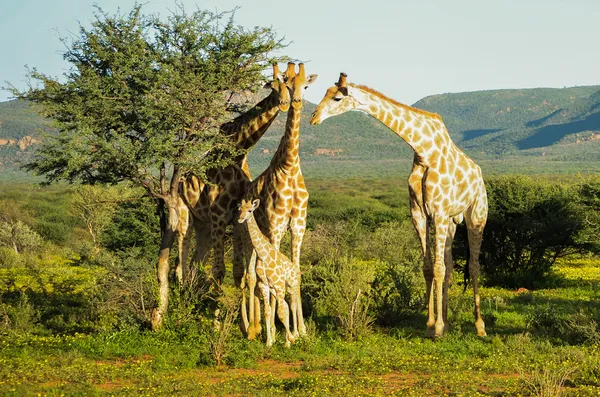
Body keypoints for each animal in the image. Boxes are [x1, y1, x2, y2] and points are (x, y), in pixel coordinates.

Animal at [244, 62, 318, 340]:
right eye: (285, 83)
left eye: (305, 86)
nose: (294, 101)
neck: (289, 166)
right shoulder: (276, 226)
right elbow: (272, 278)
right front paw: (280, 331)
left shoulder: (298, 226)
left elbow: (295, 270)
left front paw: (301, 330)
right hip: (247, 236)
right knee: (249, 276)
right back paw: (251, 329)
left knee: (256, 275)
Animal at [310, 72, 488, 338]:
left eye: (337, 98)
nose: (313, 117)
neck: (424, 151)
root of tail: (479, 174)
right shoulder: (419, 213)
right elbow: (429, 268)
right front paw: (431, 323)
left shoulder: (438, 211)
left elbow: (437, 268)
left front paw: (437, 328)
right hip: (451, 221)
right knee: (450, 266)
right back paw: (447, 320)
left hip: (476, 214)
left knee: (473, 266)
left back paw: (479, 326)